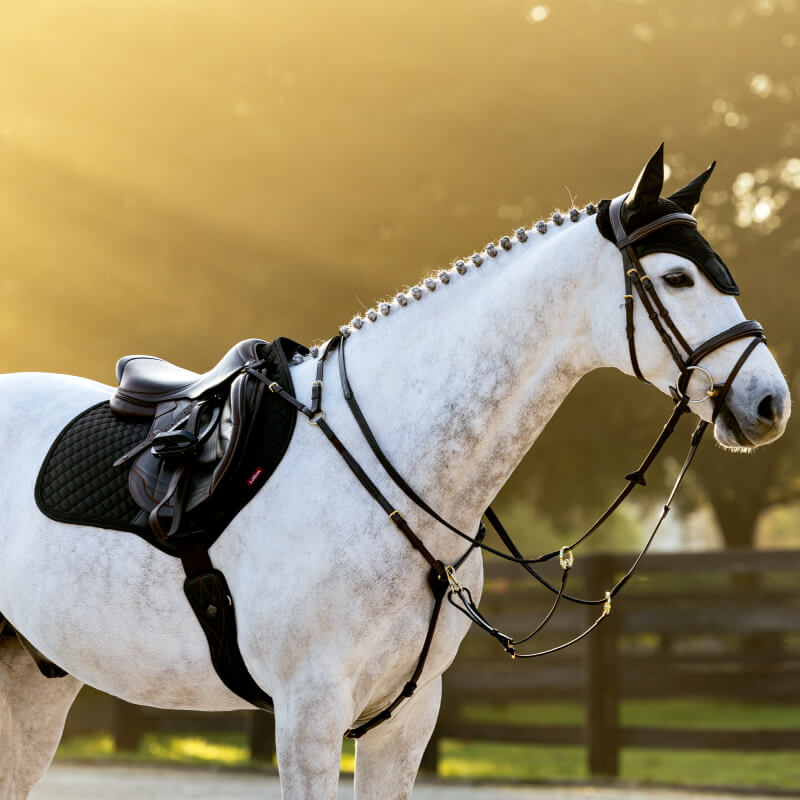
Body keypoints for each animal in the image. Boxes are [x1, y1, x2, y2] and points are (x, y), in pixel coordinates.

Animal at [0, 145, 789, 799]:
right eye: (677, 276)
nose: (769, 403)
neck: (397, 476)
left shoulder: (405, 719)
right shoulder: (309, 715)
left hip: (35, 685)